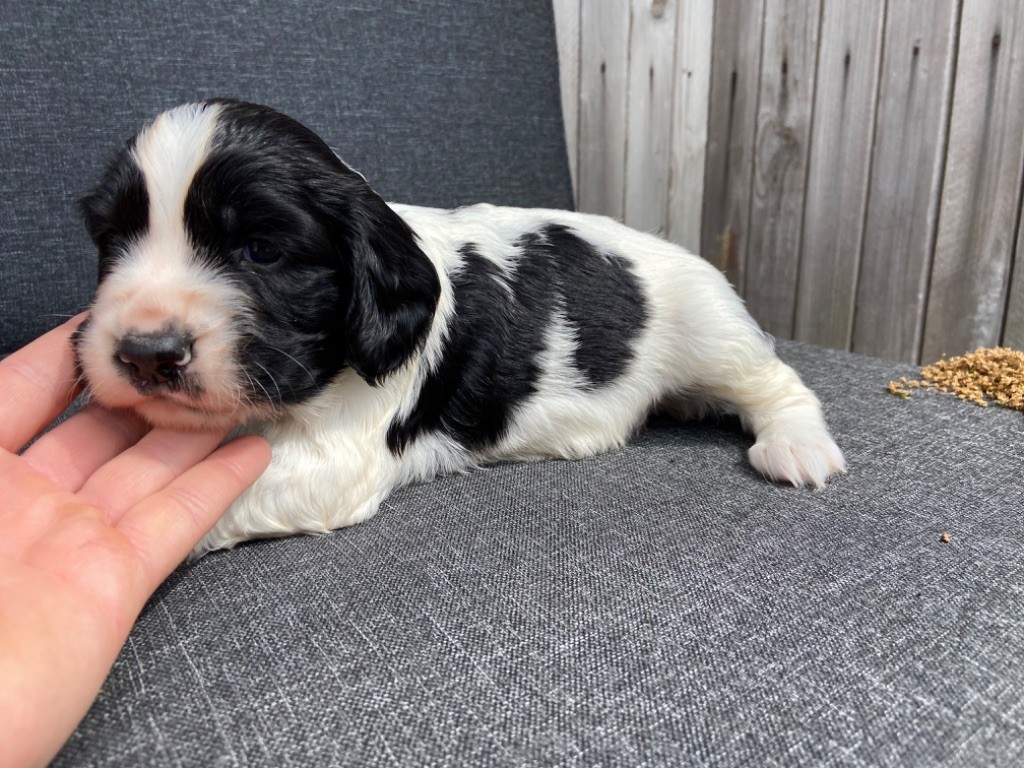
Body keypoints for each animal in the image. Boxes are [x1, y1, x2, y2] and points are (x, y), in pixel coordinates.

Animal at [74, 99, 847, 557]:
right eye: (114, 241)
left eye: (260, 250)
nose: (145, 355)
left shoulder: (340, 455)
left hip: (711, 327)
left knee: (776, 380)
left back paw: (798, 446)